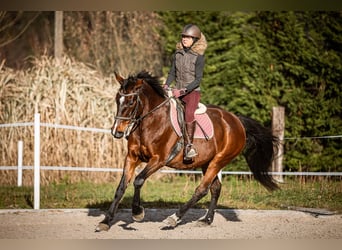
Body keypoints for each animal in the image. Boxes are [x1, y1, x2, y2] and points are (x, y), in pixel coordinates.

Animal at [95, 69, 278, 231]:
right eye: (117, 99)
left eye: (131, 102)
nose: (117, 132)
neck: (150, 122)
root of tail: (236, 120)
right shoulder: (132, 158)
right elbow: (121, 187)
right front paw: (106, 221)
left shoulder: (159, 159)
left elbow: (138, 180)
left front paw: (137, 212)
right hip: (207, 163)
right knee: (215, 188)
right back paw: (206, 220)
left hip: (219, 161)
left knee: (202, 190)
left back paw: (174, 218)